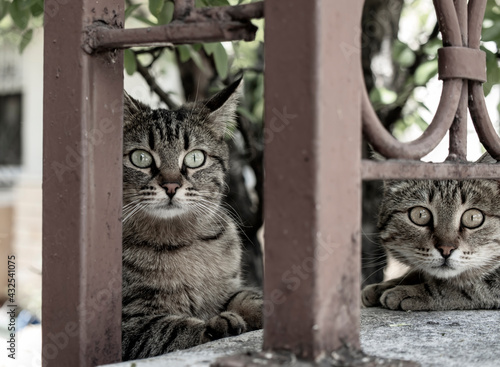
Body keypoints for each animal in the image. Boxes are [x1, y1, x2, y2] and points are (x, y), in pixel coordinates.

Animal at [122, 79, 262, 360]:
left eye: (195, 158)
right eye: (140, 157)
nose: (171, 186)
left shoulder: (230, 287)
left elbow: (247, 295)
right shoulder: (125, 325)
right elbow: (168, 328)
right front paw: (214, 326)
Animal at [362, 154, 500, 312]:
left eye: (473, 217)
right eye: (420, 215)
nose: (446, 249)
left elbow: (470, 287)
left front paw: (413, 291)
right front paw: (386, 285)